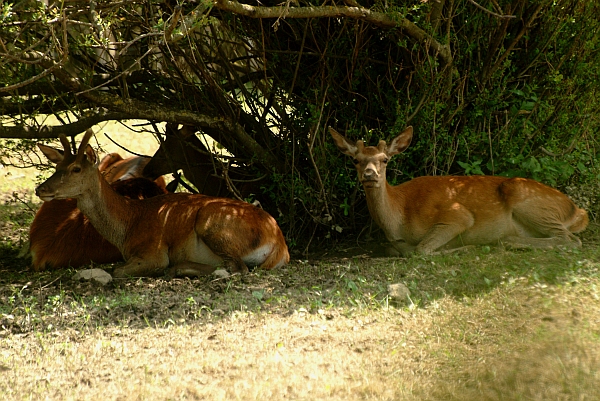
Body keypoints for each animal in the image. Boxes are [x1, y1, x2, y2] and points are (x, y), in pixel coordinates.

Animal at [330, 126, 588, 255]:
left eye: (384, 159)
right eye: (355, 160)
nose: (369, 174)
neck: (400, 216)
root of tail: (577, 211)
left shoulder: (456, 215)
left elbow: (421, 250)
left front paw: (462, 247)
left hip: (531, 201)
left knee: (571, 239)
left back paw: (509, 241)